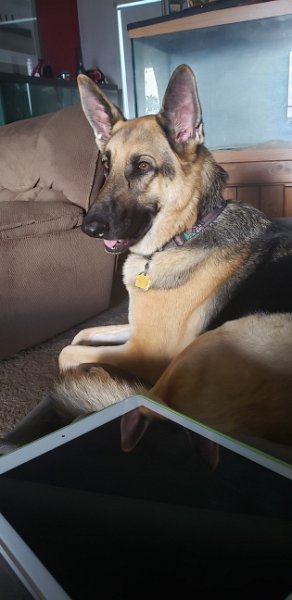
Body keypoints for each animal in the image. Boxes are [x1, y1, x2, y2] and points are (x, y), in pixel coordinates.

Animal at [2, 65, 292, 458]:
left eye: (142, 166)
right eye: (105, 165)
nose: (89, 229)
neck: (186, 233)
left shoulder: (144, 349)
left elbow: (67, 351)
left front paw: (88, 367)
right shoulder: (135, 329)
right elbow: (81, 334)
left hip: (213, 343)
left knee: (147, 396)